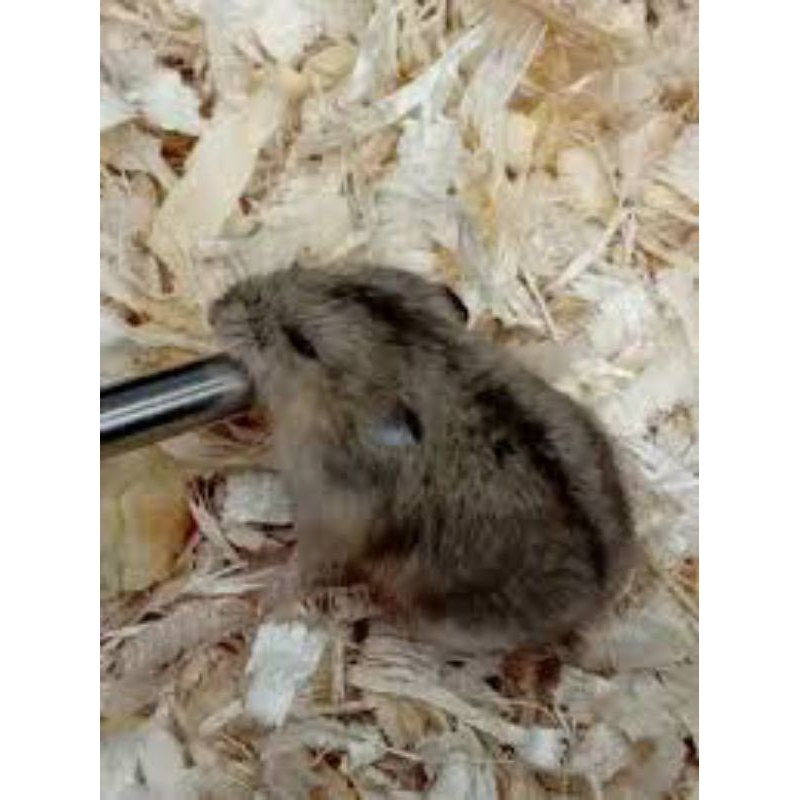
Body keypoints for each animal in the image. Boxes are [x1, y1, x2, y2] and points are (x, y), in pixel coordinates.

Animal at [209, 264, 636, 652]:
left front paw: (260, 593)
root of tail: (600, 595)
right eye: (314, 271)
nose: (214, 310)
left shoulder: (329, 517)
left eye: (302, 344)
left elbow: (301, 564)